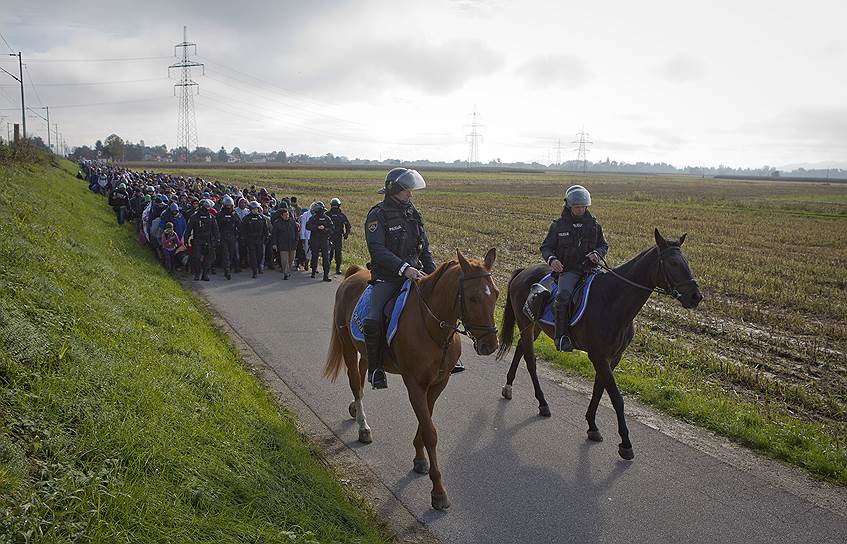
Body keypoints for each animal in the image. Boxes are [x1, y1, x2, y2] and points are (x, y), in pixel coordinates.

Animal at [322, 246, 496, 510]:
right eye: (473, 297)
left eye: (496, 294)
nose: (490, 345)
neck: (433, 328)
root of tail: (354, 273)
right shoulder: (415, 385)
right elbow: (430, 432)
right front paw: (438, 492)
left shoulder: (437, 384)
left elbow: (426, 423)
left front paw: (419, 459)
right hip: (348, 347)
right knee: (355, 382)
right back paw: (363, 427)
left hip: (366, 351)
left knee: (362, 376)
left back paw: (356, 408)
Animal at [496, 230, 704, 460]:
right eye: (672, 263)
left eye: (686, 261)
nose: (695, 296)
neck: (613, 300)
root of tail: (524, 271)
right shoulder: (598, 356)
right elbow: (616, 397)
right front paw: (625, 444)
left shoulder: (612, 358)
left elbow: (599, 390)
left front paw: (592, 426)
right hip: (526, 324)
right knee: (531, 361)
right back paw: (542, 403)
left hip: (536, 327)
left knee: (520, 349)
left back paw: (508, 387)